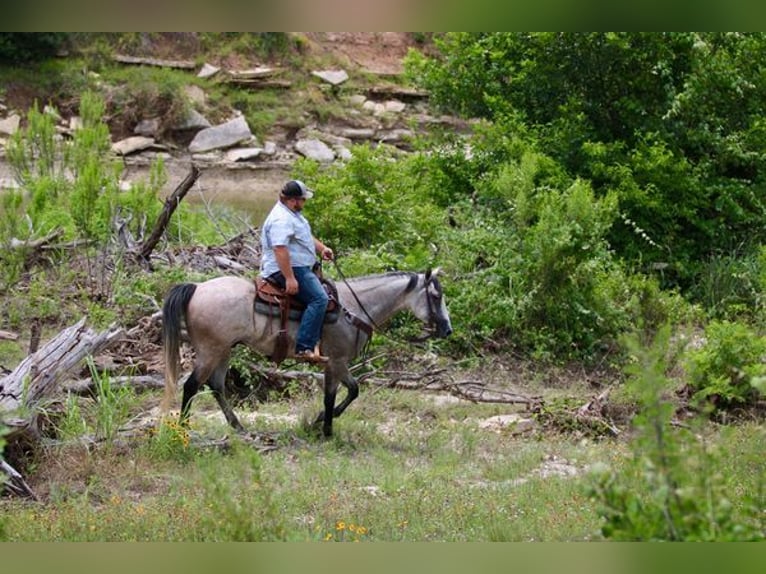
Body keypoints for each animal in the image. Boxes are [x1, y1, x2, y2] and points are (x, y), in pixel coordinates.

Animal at [161, 268, 453, 437]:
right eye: (436, 296)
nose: (447, 329)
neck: (352, 307)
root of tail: (197, 287)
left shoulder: (332, 363)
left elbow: (341, 393)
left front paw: (320, 423)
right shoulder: (337, 360)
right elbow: (347, 391)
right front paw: (326, 429)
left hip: (224, 350)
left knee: (216, 386)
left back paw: (238, 426)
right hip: (211, 350)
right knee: (192, 385)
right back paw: (184, 428)